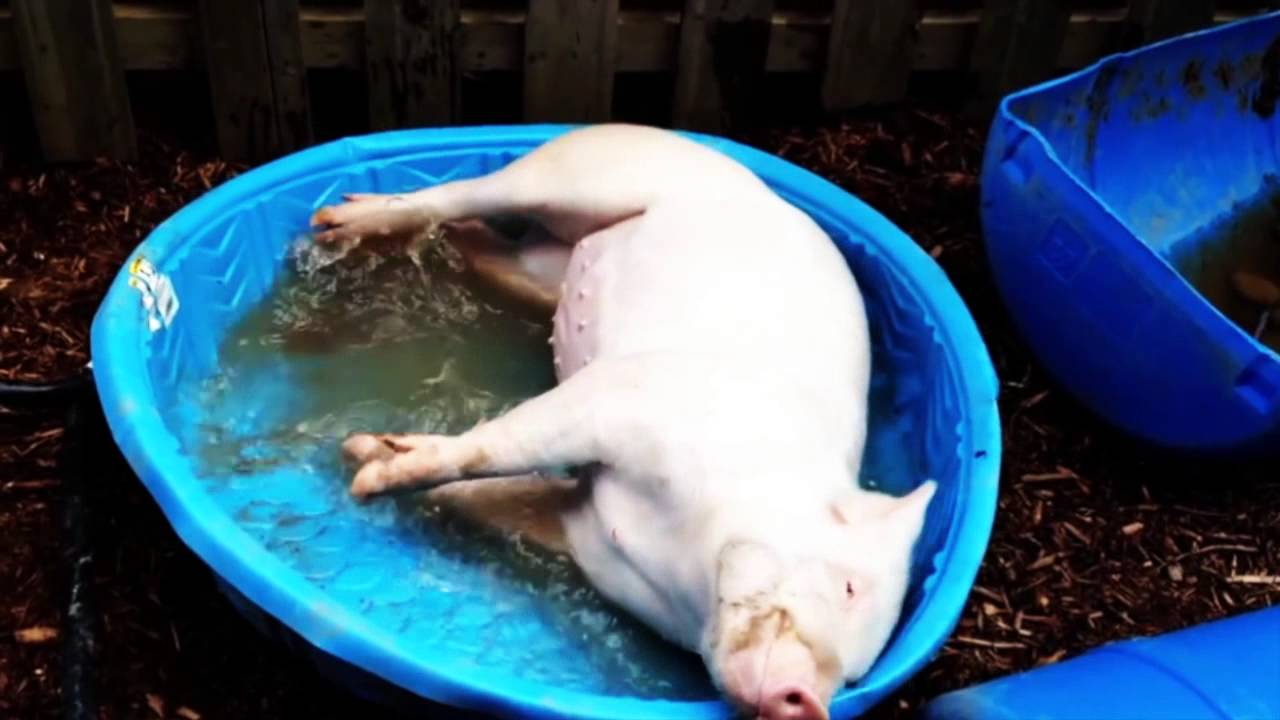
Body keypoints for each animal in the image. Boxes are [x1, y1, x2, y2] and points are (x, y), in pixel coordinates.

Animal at [310, 124, 936, 720]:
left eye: (854, 675)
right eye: (850, 586)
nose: (806, 701)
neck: (681, 559)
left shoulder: (581, 530)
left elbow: (496, 495)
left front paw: (365, 451)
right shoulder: (620, 399)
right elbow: (495, 448)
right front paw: (364, 472)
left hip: (540, 267)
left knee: (485, 239)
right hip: (586, 170)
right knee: (467, 193)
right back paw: (330, 224)